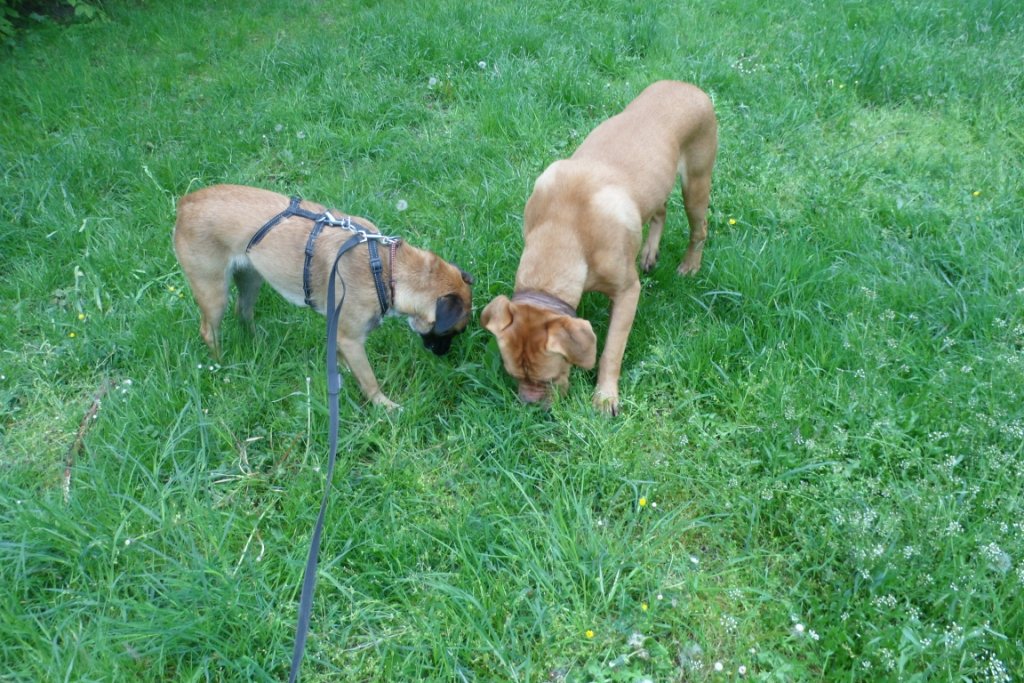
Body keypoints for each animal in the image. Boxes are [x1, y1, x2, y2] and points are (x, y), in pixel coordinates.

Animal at [173, 184, 473, 409]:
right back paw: (221, 364)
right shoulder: (351, 339)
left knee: (243, 312)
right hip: (214, 292)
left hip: (251, 278)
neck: (388, 269)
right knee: (209, 331)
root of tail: (186, 203)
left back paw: (258, 344)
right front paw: (385, 406)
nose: (442, 355)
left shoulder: (338, 330)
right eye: (452, 331)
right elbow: (369, 380)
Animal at [481, 81, 717, 415]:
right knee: (660, 210)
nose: (530, 407)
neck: (564, 228)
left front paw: (605, 396)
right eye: (514, 375)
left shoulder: (628, 292)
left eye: (548, 379)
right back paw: (649, 252)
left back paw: (690, 265)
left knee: (700, 229)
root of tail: (688, 85)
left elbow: (611, 350)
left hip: (696, 184)